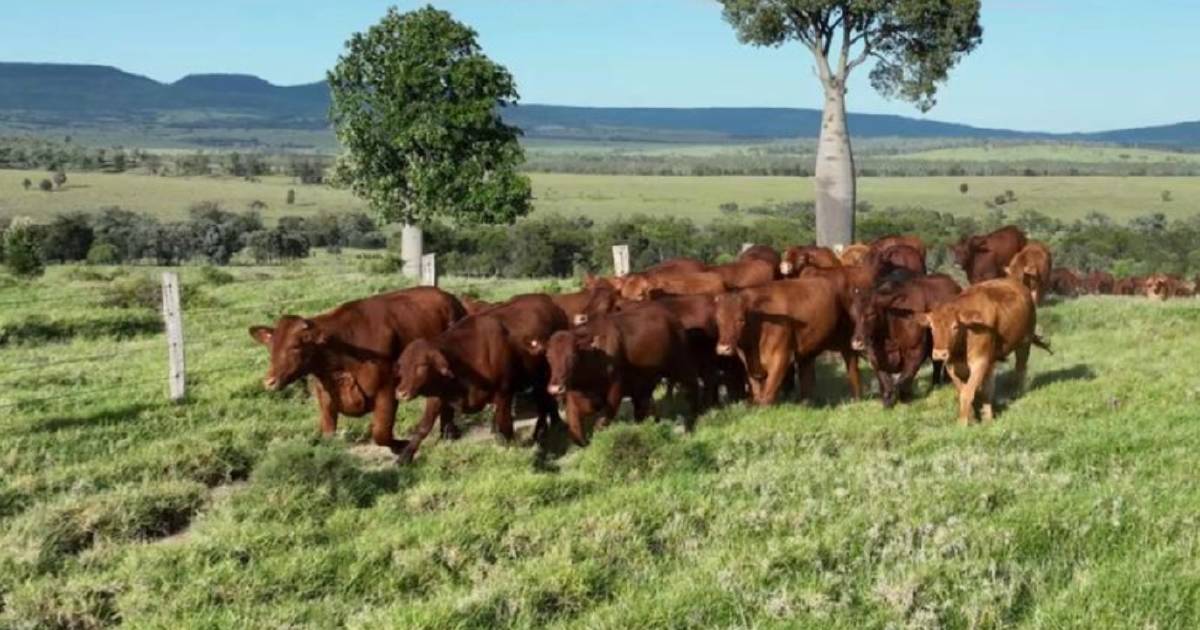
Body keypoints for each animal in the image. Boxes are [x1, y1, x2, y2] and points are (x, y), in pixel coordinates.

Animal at [248, 286, 463, 453]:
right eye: (270, 347)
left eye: (295, 346)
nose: (269, 381)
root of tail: (450, 297)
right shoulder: (326, 398)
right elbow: (328, 433)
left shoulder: (386, 390)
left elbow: (381, 433)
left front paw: (402, 445)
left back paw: (448, 432)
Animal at [391, 292, 564, 458]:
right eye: (402, 366)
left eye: (422, 366)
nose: (400, 392)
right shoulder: (437, 394)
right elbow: (423, 427)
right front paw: (405, 456)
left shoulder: (504, 393)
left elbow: (505, 424)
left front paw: (507, 445)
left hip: (544, 377)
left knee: (544, 402)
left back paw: (544, 429)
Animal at [542, 303, 700, 441]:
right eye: (548, 357)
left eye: (573, 356)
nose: (555, 388)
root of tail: (672, 318)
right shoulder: (574, 400)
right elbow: (577, 436)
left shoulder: (615, 390)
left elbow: (601, 424)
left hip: (681, 368)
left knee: (692, 390)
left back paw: (690, 425)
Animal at [710, 277, 844, 405]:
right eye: (718, 319)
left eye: (741, 320)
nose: (723, 348)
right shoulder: (748, 363)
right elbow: (756, 386)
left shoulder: (781, 356)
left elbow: (770, 386)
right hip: (807, 351)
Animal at [849, 272, 960, 405]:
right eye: (853, 314)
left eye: (871, 314)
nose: (856, 343)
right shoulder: (874, 357)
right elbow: (885, 380)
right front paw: (888, 399)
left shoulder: (915, 351)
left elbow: (904, 378)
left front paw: (905, 397)